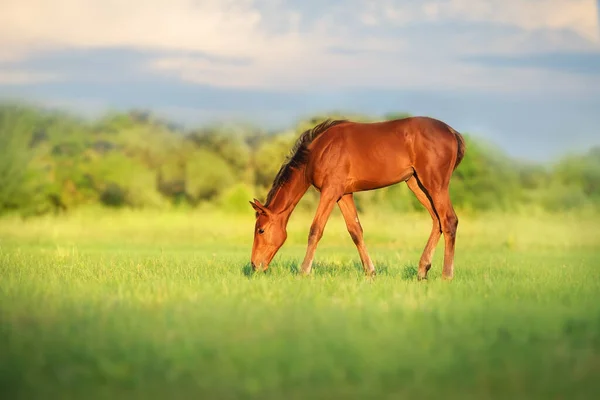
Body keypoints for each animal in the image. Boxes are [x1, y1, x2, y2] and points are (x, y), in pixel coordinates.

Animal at [248, 115, 464, 280]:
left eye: (261, 230)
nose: (254, 265)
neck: (319, 151)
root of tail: (451, 131)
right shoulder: (344, 194)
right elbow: (355, 231)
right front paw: (370, 272)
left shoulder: (330, 191)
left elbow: (315, 230)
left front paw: (304, 271)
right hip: (416, 183)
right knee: (437, 220)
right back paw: (422, 270)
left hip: (435, 184)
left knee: (449, 220)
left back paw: (446, 275)